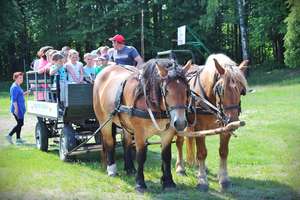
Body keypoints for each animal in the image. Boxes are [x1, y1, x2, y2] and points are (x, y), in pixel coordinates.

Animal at [94, 59, 191, 192]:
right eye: (166, 91)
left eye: (186, 90)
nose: (180, 123)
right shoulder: (140, 133)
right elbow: (141, 156)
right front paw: (140, 183)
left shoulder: (168, 133)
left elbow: (166, 156)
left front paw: (168, 182)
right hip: (104, 120)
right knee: (109, 142)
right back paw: (112, 170)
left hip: (126, 124)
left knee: (126, 142)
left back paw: (130, 169)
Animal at [175, 53, 247, 191]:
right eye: (221, 89)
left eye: (242, 90)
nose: (233, 121)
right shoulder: (199, 128)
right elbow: (202, 152)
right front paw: (202, 180)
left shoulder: (225, 128)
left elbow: (223, 152)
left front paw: (224, 179)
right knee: (180, 142)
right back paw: (180, 168)